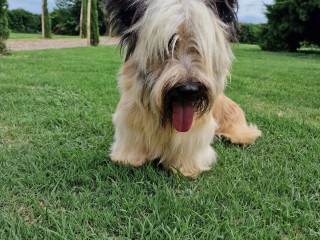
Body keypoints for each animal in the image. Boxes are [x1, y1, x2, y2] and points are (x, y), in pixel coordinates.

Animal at [106, 0, 262, 176]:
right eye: (168, 45)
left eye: (199, 47)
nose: (188, 90)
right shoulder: (130, 120)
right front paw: (129, 159)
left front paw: (184, 167)